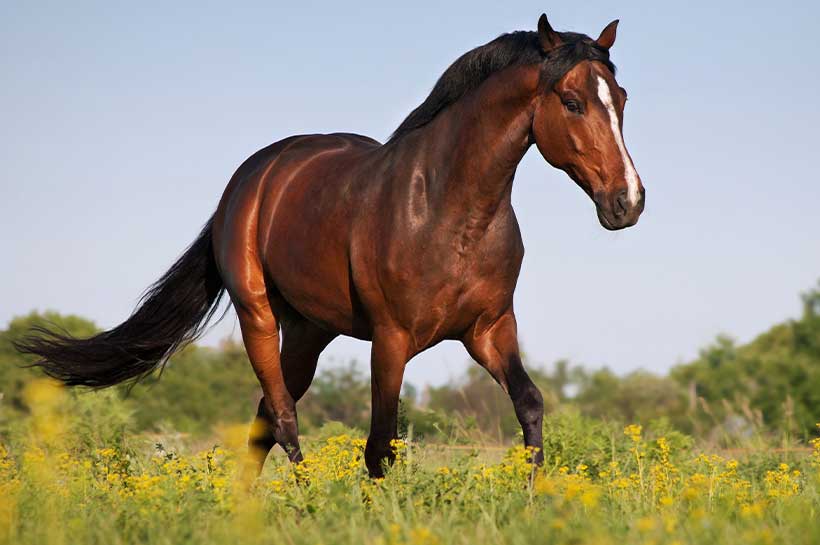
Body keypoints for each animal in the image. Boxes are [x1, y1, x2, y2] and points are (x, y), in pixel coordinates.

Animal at [16, 13, 648, 476]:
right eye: (572, 102)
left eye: (620, 97)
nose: (629, 201)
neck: (449, 210)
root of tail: (254, 176)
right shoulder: (391, 341)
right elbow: (380, 444)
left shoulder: (489, 331)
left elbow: (530, 407)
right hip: (259, 317)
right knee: (284, 420)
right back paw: (303, 500)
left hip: (309, 332)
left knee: (265, 422)